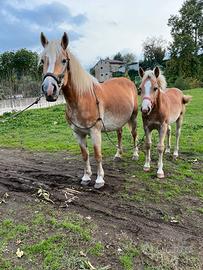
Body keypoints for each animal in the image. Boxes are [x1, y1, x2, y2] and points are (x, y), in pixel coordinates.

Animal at [39, 32, 140, 188]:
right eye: (43, 61)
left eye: (64, 60)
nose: (49, 89)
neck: (82, 98)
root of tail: (127, 81)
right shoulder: (78, 133)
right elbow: (85, 155)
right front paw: (86, 177)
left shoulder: (95, 131)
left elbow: (97, 155)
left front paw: (99, 179)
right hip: (119, 121)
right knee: (119, 134)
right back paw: (118, 155)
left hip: (133, 117)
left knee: (134, 134)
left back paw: (135, 154)